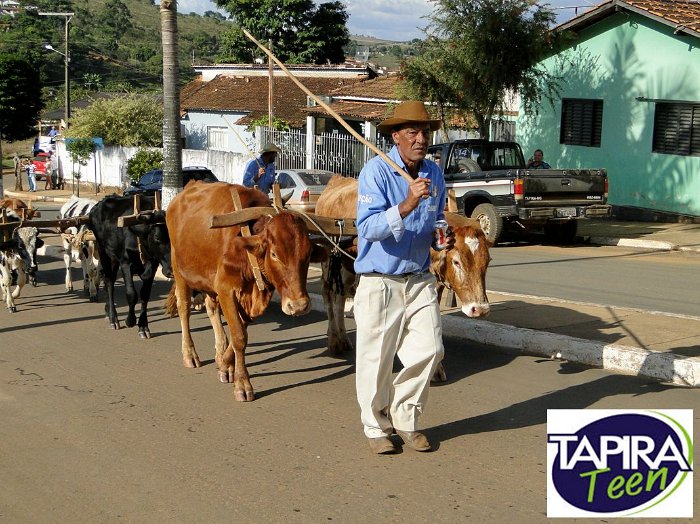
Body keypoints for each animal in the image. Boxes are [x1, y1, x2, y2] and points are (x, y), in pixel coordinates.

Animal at [89, 194, 174, 338]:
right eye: (157, 237)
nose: (171, 270)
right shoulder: (126, 263)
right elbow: (131, 294)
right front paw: (130, 320)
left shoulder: (153, 266)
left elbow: (145, 295)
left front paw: (143, 326)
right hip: (103, 252)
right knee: (109, 282)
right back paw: (113, 318)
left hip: (113, 258)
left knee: (107, 281)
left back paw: (107, 312)